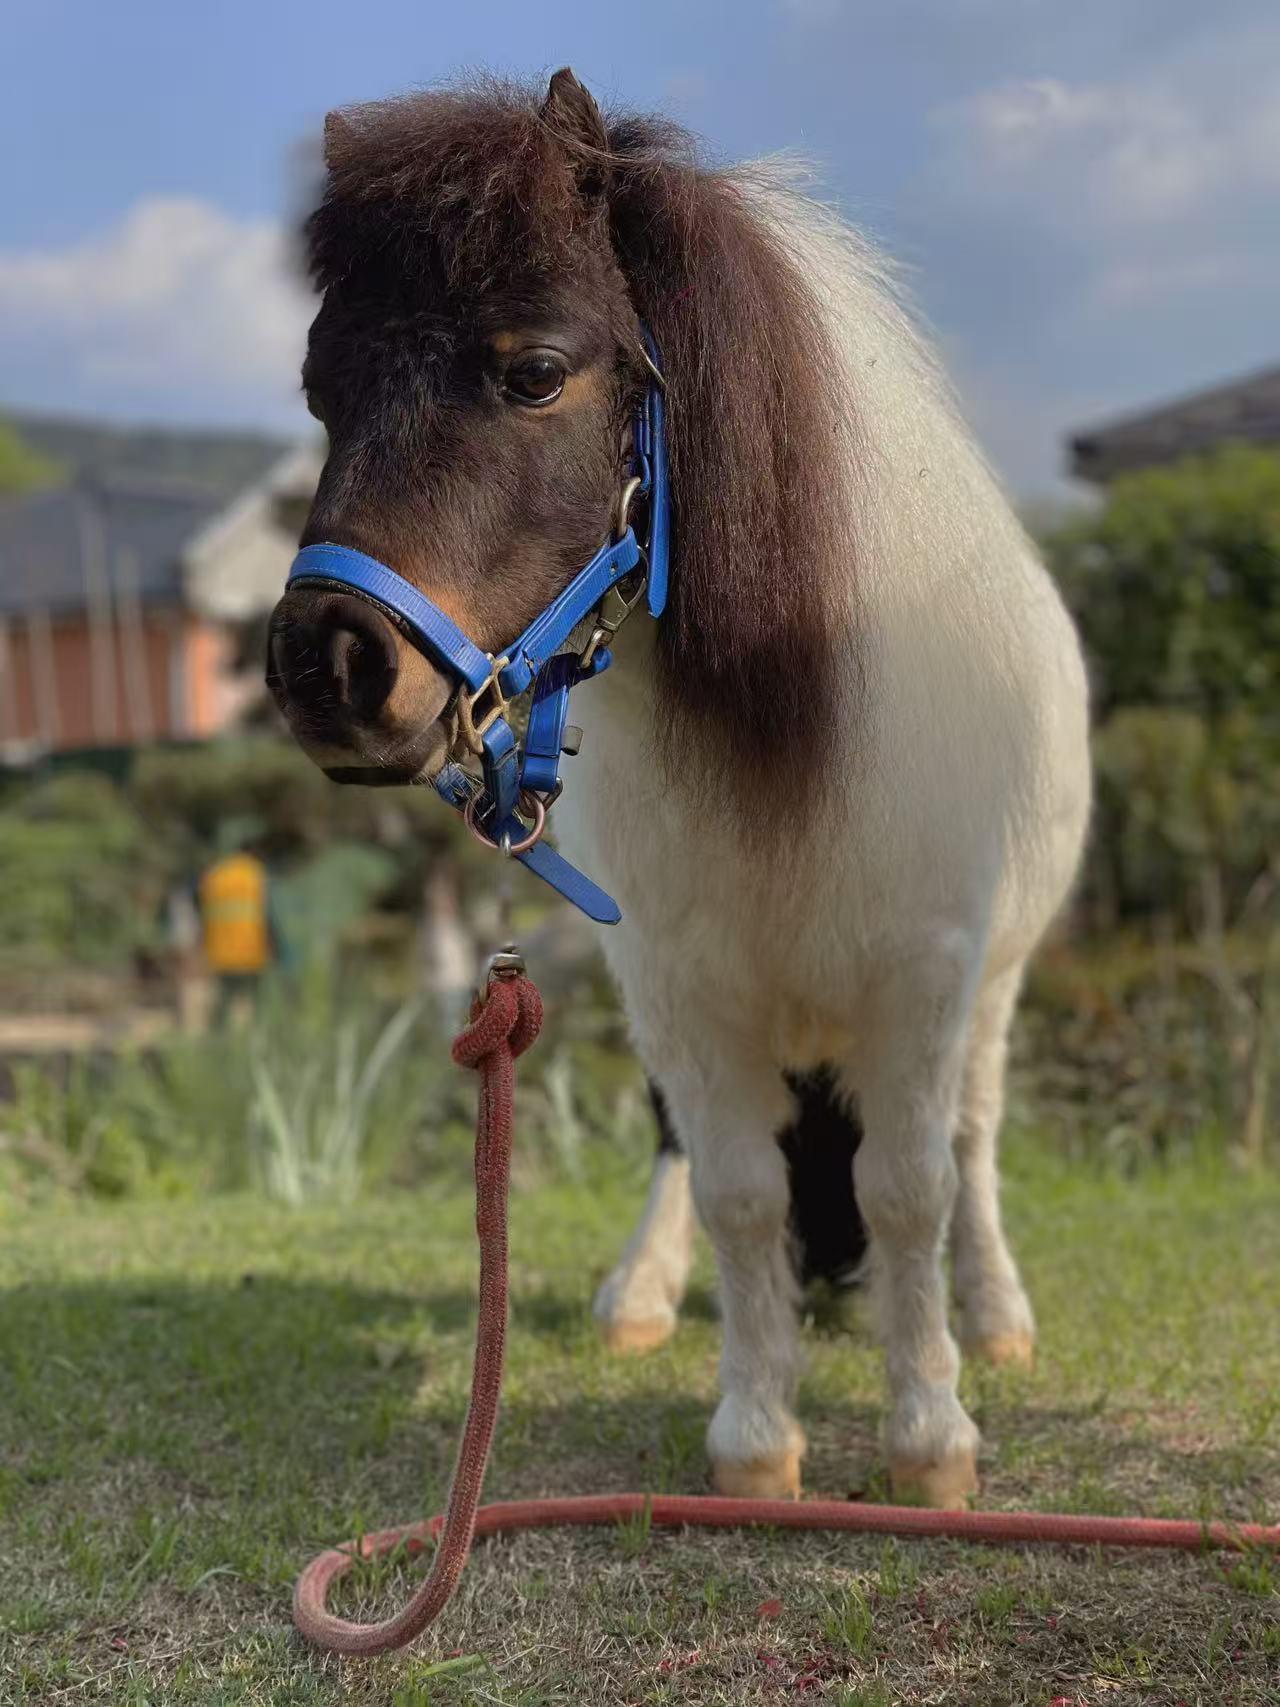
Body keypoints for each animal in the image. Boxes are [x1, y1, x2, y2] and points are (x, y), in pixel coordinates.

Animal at [267, 70, 1091, 1508]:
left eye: (535, 372)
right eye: (324, 391)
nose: (328, 665)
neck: (795, 714)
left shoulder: (923, 979)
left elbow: (909, 1190)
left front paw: (929, 1433)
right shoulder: (683, 986)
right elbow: (738, 1192)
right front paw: (756, 1440)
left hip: (989, 986)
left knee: (975, 1139)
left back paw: (991, 1314)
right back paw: (643, 1295)